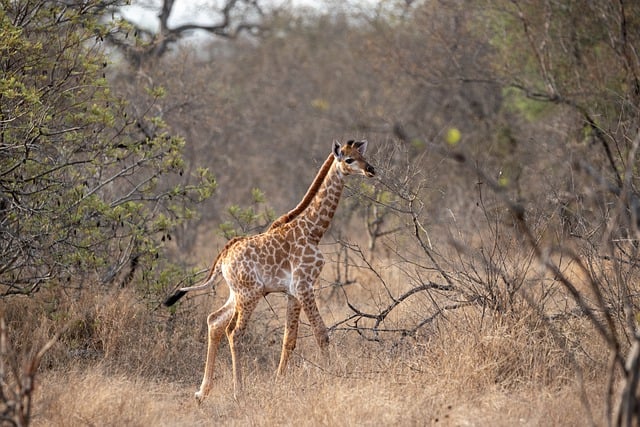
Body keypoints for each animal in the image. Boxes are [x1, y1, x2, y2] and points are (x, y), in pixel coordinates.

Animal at [165, 140, 376, 402]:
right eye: (349, 159)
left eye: (363, 155)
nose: (371, 170)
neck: (313, 231)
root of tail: (223, 257)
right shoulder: (305, 285)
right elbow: (321, 333)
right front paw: (334, 378)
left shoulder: (293, 292)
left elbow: (290, 339)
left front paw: (278, 381)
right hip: (249, 294)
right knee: (234, 332)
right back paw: (238, 391)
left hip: (238, 294)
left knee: (214, 321)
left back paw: (202, 392)